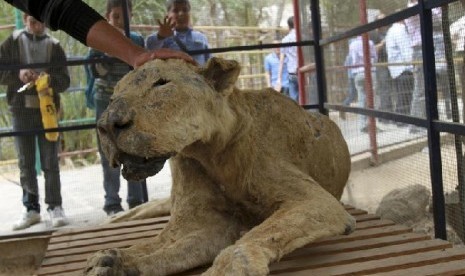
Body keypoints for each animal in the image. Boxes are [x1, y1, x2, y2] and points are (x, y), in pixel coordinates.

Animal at [86, 57, 356, 274]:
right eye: (113, 96)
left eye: (162, 83)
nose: (107, 125)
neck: (211, 153)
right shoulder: (210, 225)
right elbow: (161, 248)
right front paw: (112, 261)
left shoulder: (317, 201)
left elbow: (256, 236)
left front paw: (226, 269)